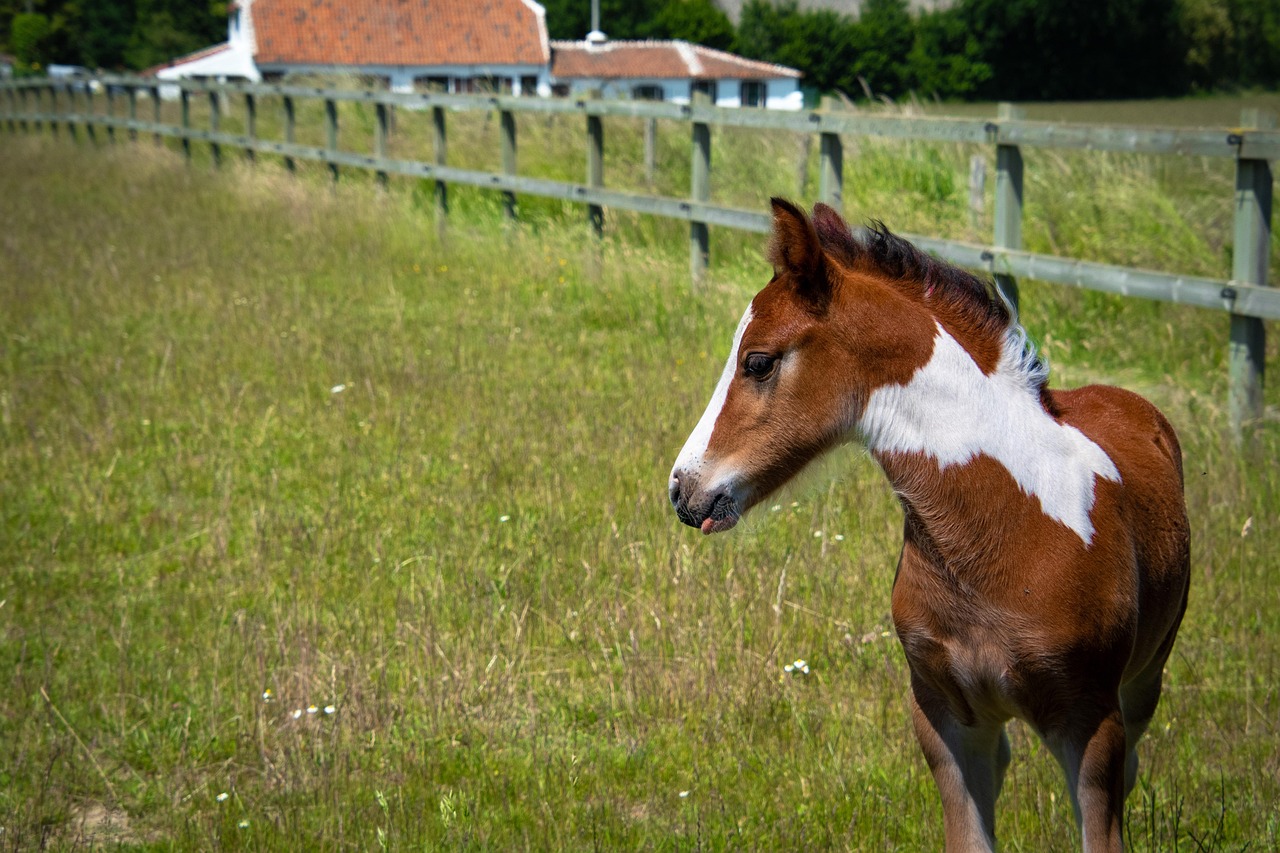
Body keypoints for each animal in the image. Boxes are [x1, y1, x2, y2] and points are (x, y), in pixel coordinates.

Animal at [668, 199, 1190, 852]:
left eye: (757, 362)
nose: (682, 489)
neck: (998, 538)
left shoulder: (1091, 724)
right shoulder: (945, 720)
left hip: (1145, 681)